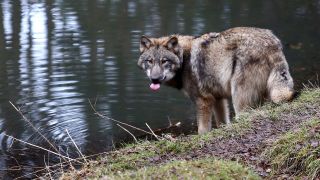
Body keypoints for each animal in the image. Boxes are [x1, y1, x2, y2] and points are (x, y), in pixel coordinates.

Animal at [138, 26, 296, 134]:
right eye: (150, 61)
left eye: (164, 61)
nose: (154, 79)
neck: (184, 59)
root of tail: (273, 42)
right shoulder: (219, 99)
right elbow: (222, 123)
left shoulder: (203, 101)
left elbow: (202, 130)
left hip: (239, 98)